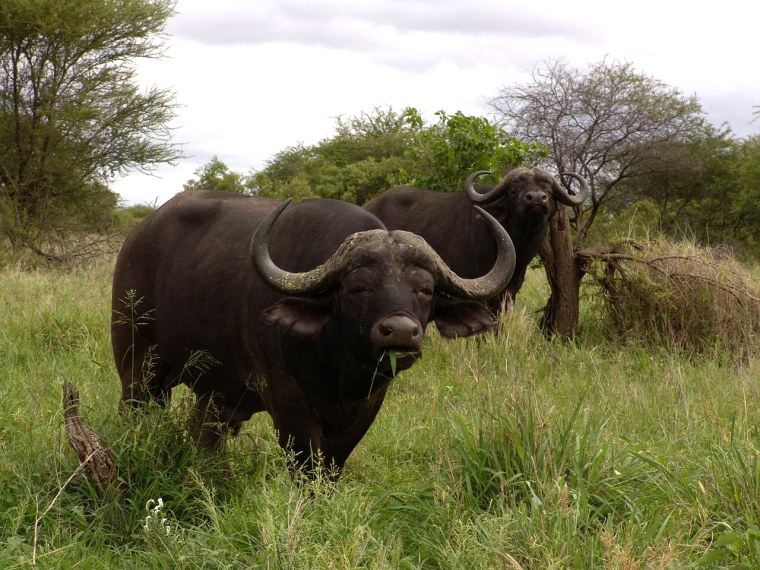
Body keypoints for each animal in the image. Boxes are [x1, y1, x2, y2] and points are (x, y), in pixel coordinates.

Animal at [111, 191, 515, 475]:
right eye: (357, 288)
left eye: (426, 289)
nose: (400, 332)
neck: (338, 369)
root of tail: (137, 238)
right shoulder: (290, 408)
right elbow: (308, 469)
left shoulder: (366, 410)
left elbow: (332, 467)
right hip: (138, 369)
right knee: (135, 412)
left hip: (216, 395)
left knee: (206, 434)